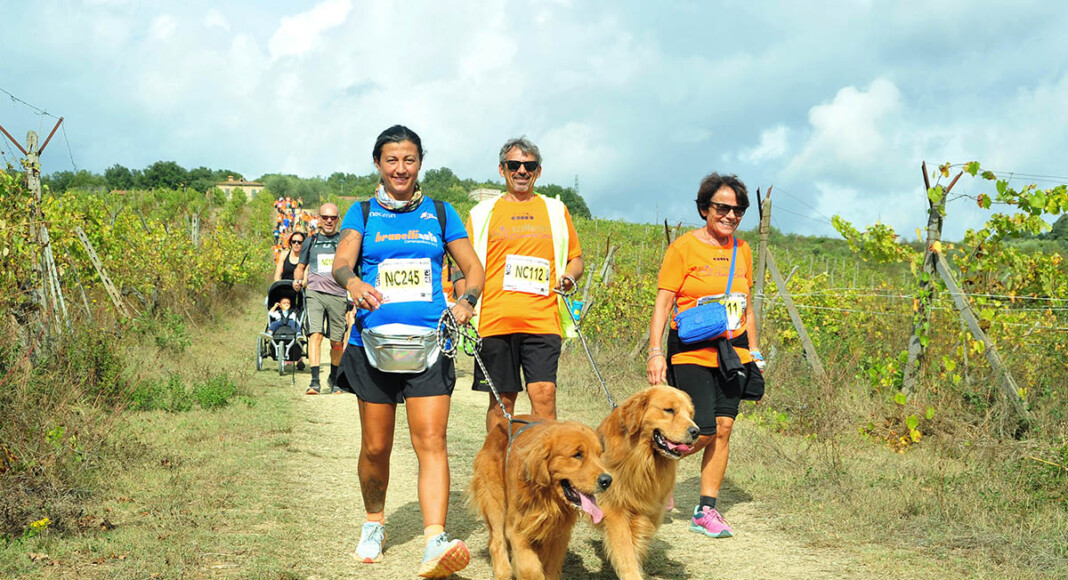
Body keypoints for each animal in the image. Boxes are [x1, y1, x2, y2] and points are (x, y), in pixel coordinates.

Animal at [470, 416, 613, 580]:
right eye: (577, 455)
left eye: (599, 455)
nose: (607, 480)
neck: (547, 498)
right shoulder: (517, 529)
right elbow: (530, 567)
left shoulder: (559, 535)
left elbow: (550, 567)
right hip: (494, 503)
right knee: (496, 540)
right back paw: (502, 572)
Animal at [593, 385, 699, 580]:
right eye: (669, 410)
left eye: (690, 414)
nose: (696, 431)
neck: (641, 459)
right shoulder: (615, 509)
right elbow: (625, 550)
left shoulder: (647, 512)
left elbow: (635, 546)